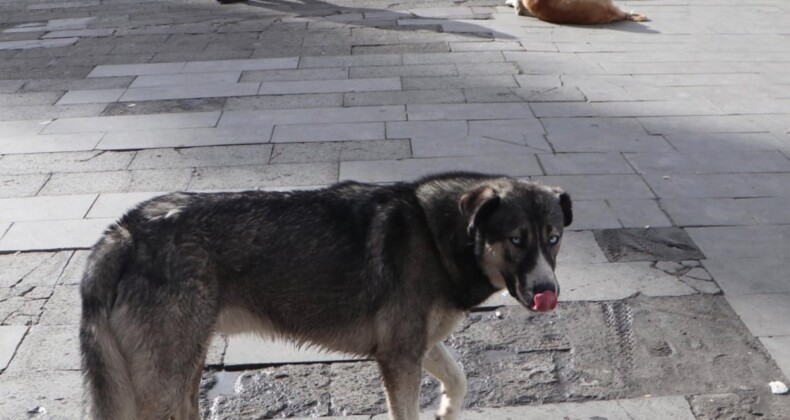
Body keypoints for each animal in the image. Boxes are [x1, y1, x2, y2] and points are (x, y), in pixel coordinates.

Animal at [80, 171, 572, 420]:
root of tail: (124, 231)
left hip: (185, 369)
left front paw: (448, 411)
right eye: (516, 240)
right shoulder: (399, 357)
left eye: (553, 238)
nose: (547, 292)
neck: (435, 235)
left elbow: (460, 377)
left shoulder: (417, 345)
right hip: (165, 380)